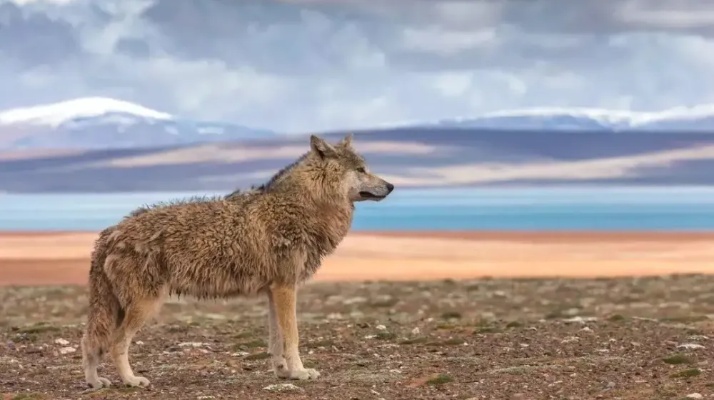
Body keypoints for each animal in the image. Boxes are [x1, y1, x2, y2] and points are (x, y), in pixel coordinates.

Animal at [80, 133, 392, 390]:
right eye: (361, 170)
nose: (390, 185)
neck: (303, 206)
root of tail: (110, 232)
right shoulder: (286, 288)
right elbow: (293, 337)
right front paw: (301, 372)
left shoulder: (274, 291)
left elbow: (276, 340)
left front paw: (284, 373)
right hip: (144, 306)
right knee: (114, 343)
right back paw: (131, 381)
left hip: (117, 308)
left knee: (90, 340)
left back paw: (95, 382)